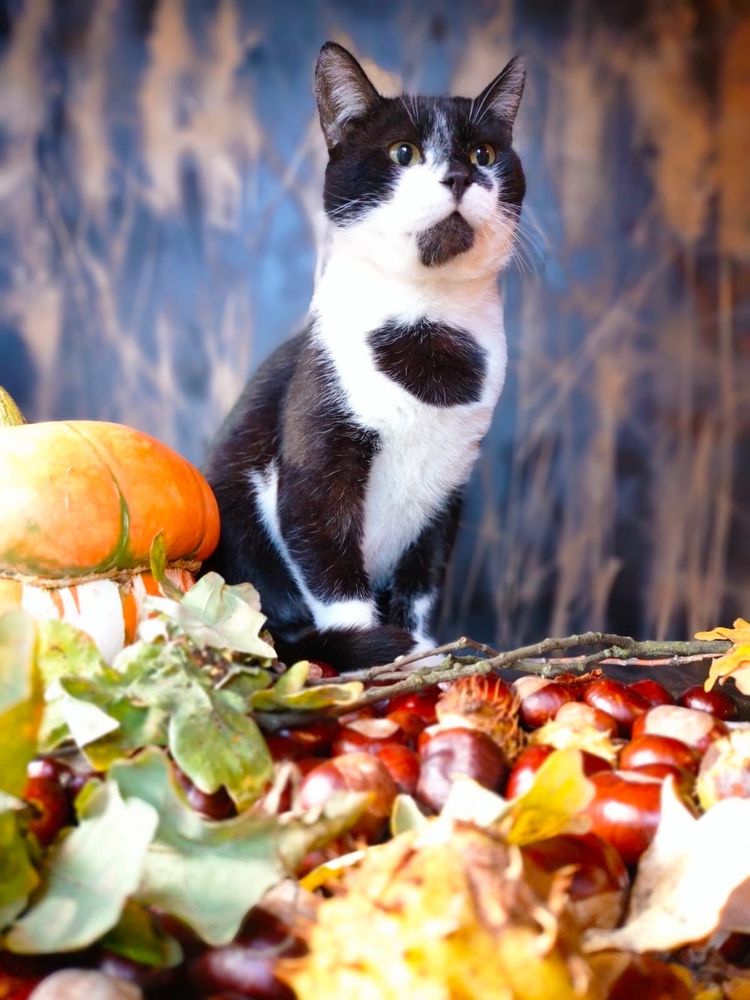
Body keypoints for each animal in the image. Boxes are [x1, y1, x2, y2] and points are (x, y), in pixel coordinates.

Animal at [203, 45, 524, 672]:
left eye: (485, 154)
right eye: (404, 153)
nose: (459, 175)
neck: (428, 329)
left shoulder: (449, 486)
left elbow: (422, 580)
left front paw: (422, 655)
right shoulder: (314, 459)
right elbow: (331, 567)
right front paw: (375, 652)